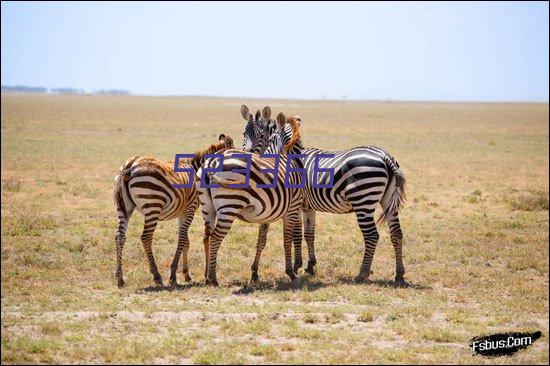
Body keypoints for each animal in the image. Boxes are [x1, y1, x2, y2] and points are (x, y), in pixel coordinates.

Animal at [114, 133, 235, 288]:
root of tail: (130, 165)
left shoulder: (181, 212)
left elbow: (186, 241)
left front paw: (186, 274)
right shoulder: (190, 208)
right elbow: (182, 239)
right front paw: (173, 275)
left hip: (124, 207)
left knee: (119, 236)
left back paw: (120, 277)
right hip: (152, 206)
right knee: (146, 237)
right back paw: (157, 275)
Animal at [196, 111, 304, 286]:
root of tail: (212, 161)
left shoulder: (267, 214)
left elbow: (261, 241)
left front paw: (255, 273)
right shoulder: (292, 209)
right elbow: (288, 239)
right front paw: (291, 272)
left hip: (207, 207)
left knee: (207, 236)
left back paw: (206, 275)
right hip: (229, 205)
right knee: (215, 237)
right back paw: (213, 277)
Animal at [244, 106, 408, 284]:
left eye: (263, 136)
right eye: (244, 134)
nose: (249, 156)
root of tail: (385, 155)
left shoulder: (297, 205)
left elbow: (296, 235)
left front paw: (296, 266)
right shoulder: (308, 207)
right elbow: (308, 234)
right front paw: (309, 266)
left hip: (363, 201)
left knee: (372, 236)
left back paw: (362, 274)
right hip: (388, 200)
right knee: (396, 233)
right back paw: (399, 274)